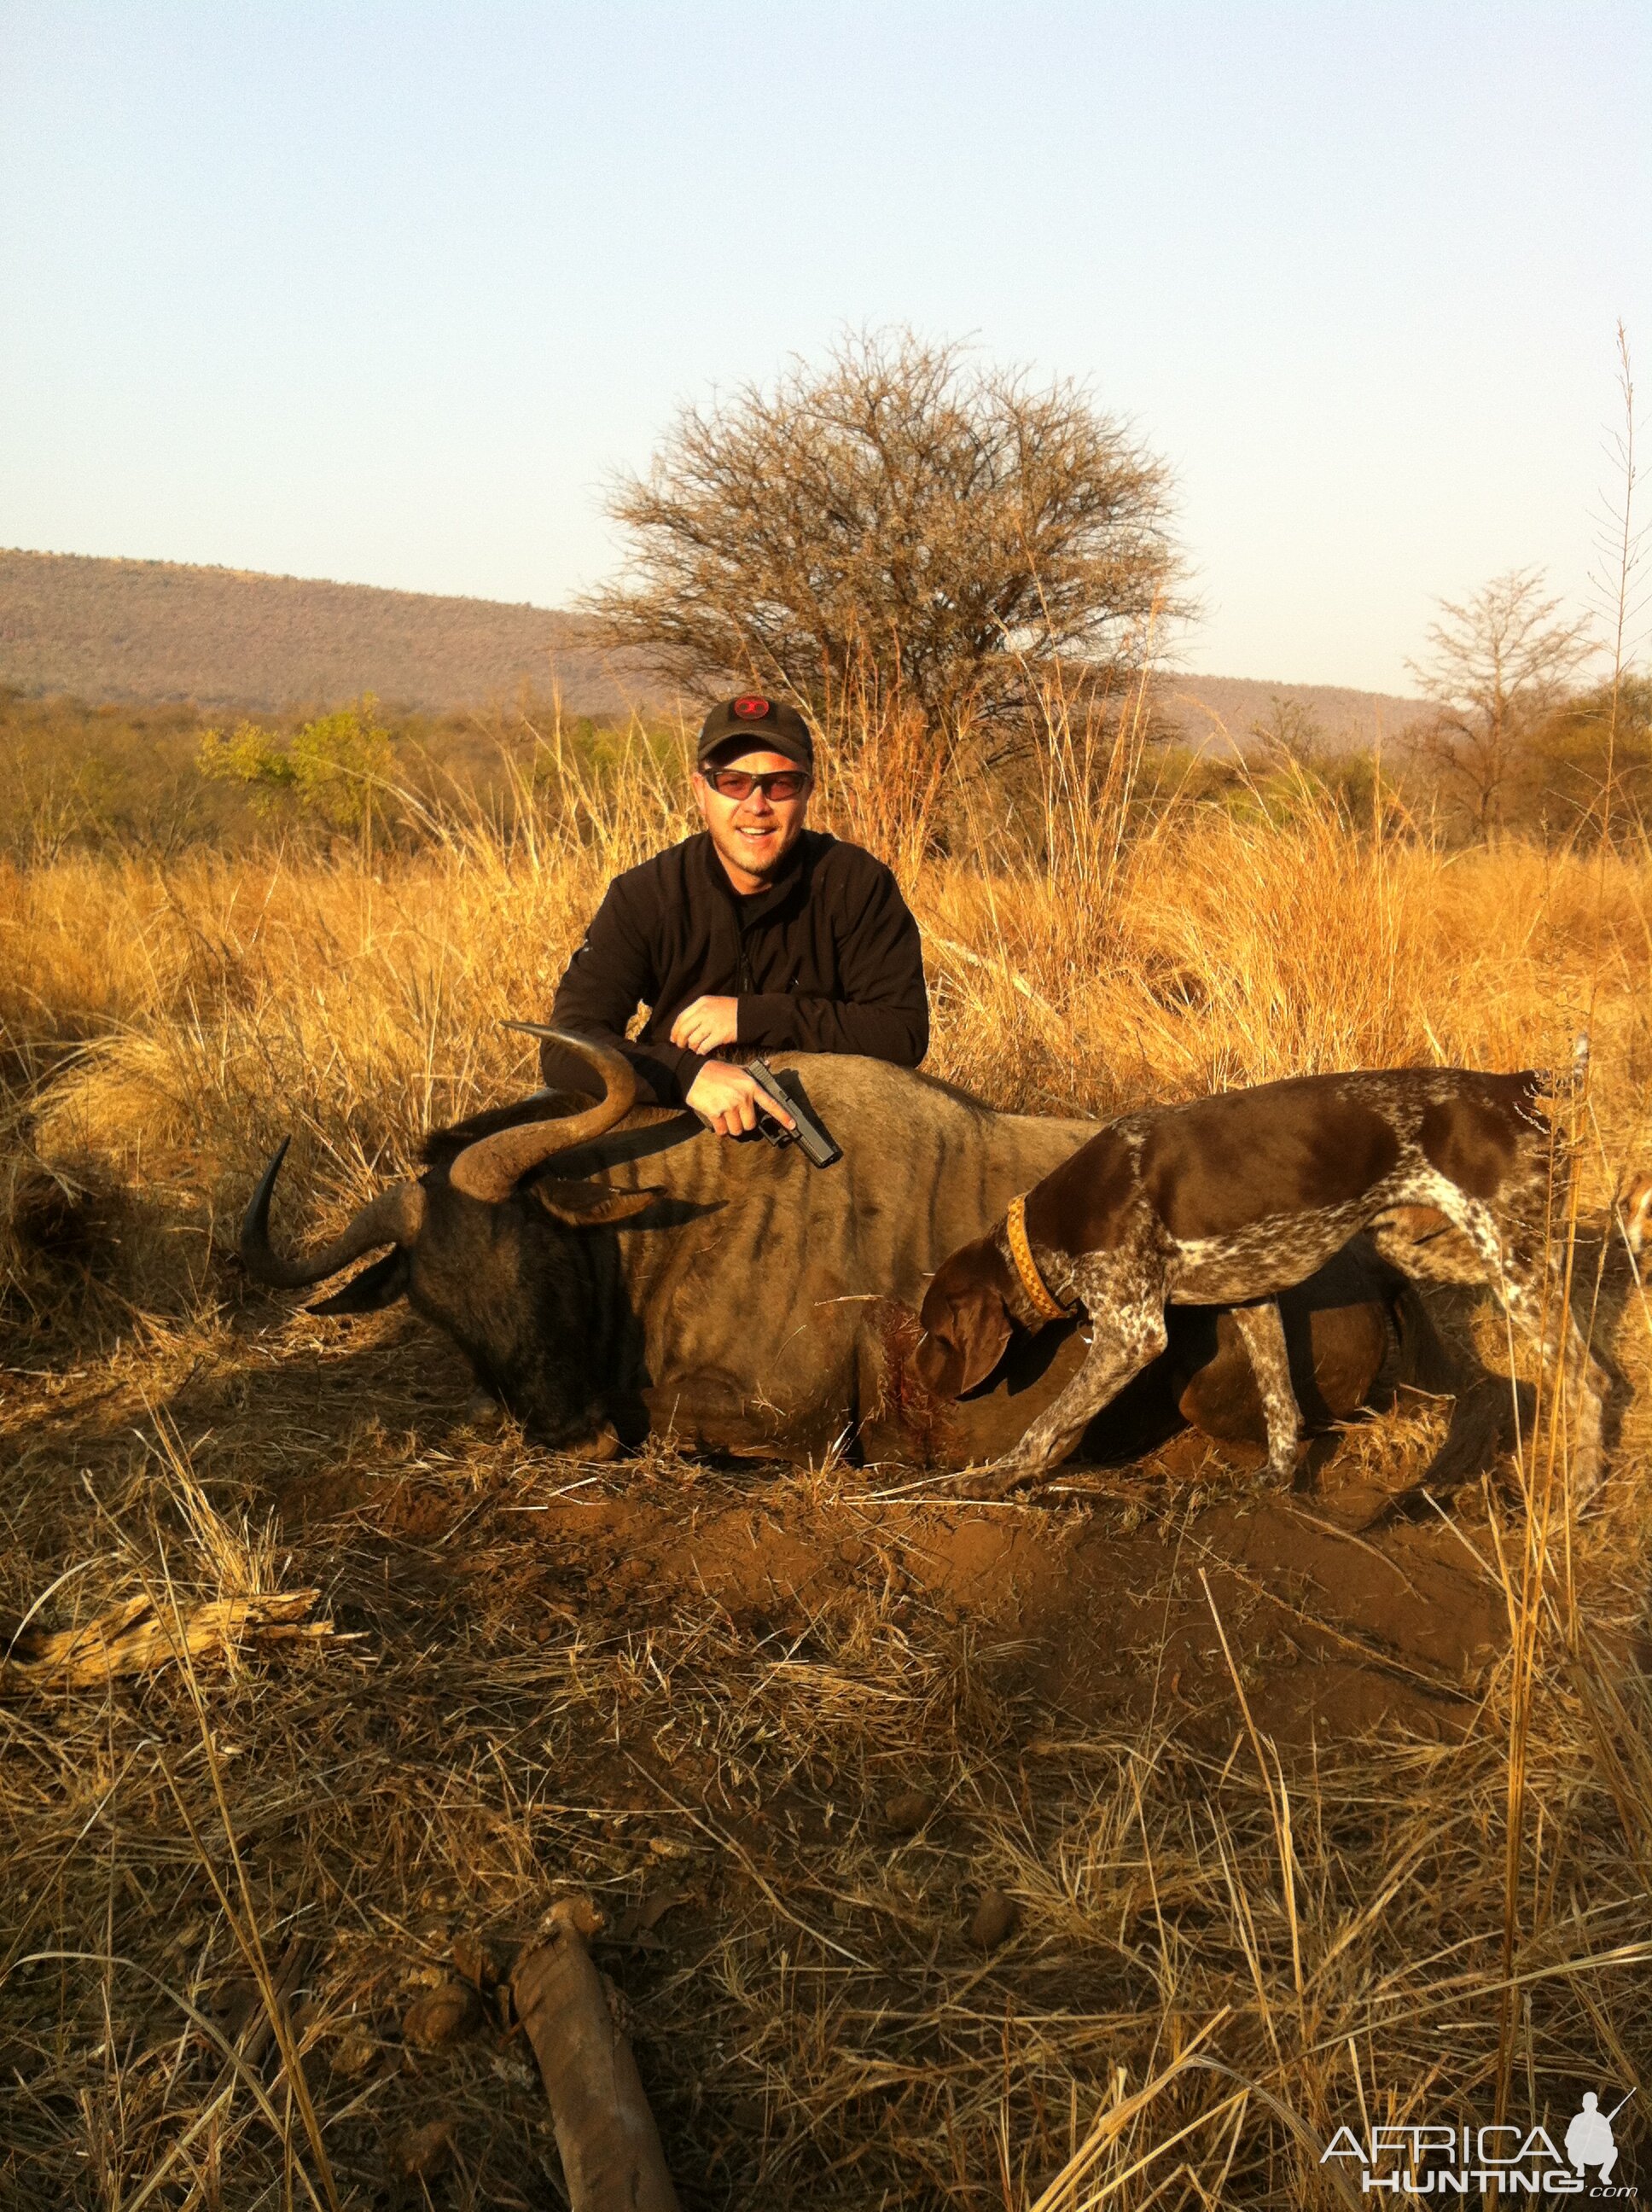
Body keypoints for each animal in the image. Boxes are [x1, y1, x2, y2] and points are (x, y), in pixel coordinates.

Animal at [910, 1057, 1609, 1504]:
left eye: (934, 1333)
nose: (914, 1378)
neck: (1057, 1225)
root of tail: (1514, 1085)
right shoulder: (1254, 1297)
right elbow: (1280, 1404)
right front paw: (1276, 1478)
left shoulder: (1133, 1334)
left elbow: (1046, 1425)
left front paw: (990, 1479)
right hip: (1435, 1250)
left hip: (1514, 1261)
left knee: (1587, 1376)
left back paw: (1576, 1490)